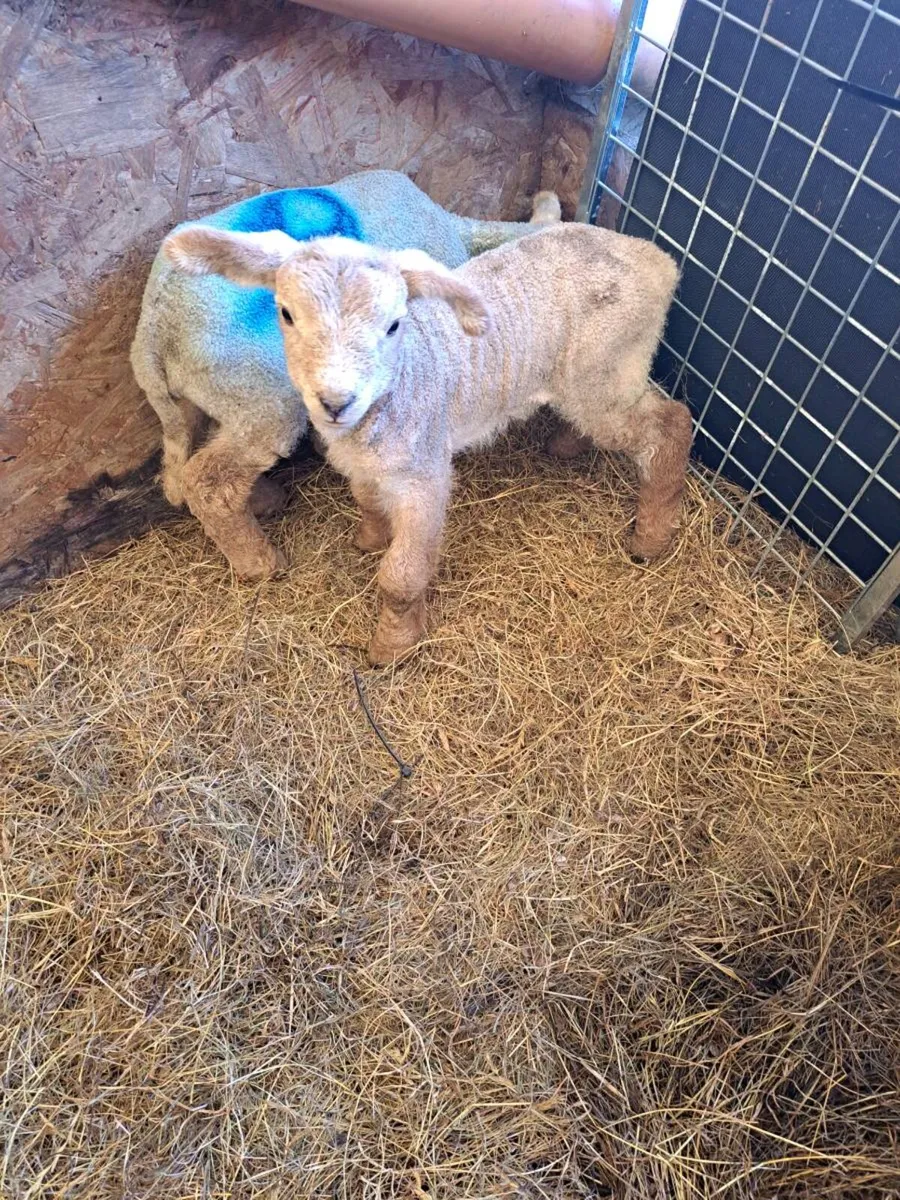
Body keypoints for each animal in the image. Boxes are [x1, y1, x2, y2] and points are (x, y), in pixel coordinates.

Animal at [130, 169, 561, 577]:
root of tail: (154, 330)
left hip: (206, 398)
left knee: (194, 463)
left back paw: (265, 499)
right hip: (261, 398)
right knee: (209, 482)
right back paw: (260, 562)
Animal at [162, 220, 692, 665]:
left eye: (394, 324)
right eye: (286, 314)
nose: (335, 401)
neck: (401, 379)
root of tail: (658, 259)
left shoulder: (426, 476)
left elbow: (402, 576)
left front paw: (393, 646)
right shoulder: (367, 465)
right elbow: (367, 501)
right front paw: (371, 538)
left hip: (607, 369)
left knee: (671, 424)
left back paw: (651, 537)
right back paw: (568, 445)